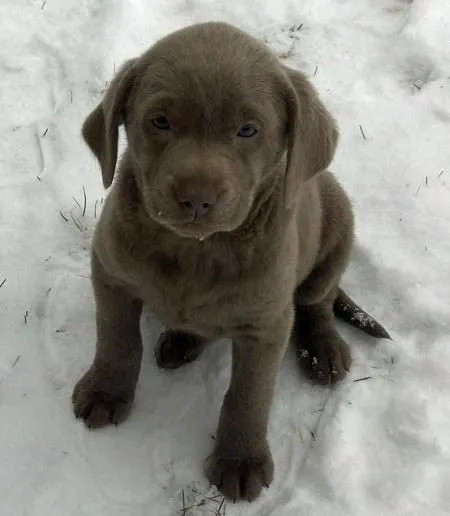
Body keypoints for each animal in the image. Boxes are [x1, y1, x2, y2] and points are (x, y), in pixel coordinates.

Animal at [72, 22, 388, 502]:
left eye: (248, 130)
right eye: (159, 121)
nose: (197, 197)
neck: (197, 250)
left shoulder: (267, 323)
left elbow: (249, 394)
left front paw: (241, 461)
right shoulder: (110, 273)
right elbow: (117, 340)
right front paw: (106, 392)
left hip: (337, 222)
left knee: (318, 301)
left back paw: (323, 350)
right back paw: (182, 340)